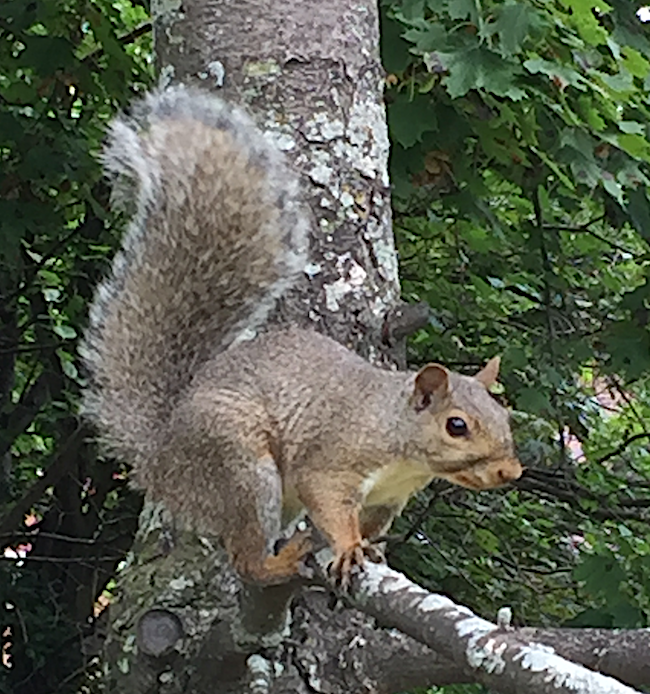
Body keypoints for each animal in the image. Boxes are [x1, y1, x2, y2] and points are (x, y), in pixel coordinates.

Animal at [81, 84, 520, 588]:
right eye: (456, 426)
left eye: (505, 416)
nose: (511, 471)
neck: (397, 440)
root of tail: (159, 457)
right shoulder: (333, 459)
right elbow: (328, 500)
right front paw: (348, 548)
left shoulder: (388, 499)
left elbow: (368, 523)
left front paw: (370, 547)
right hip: (242, 468)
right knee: (244, 557)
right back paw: (278, 563)